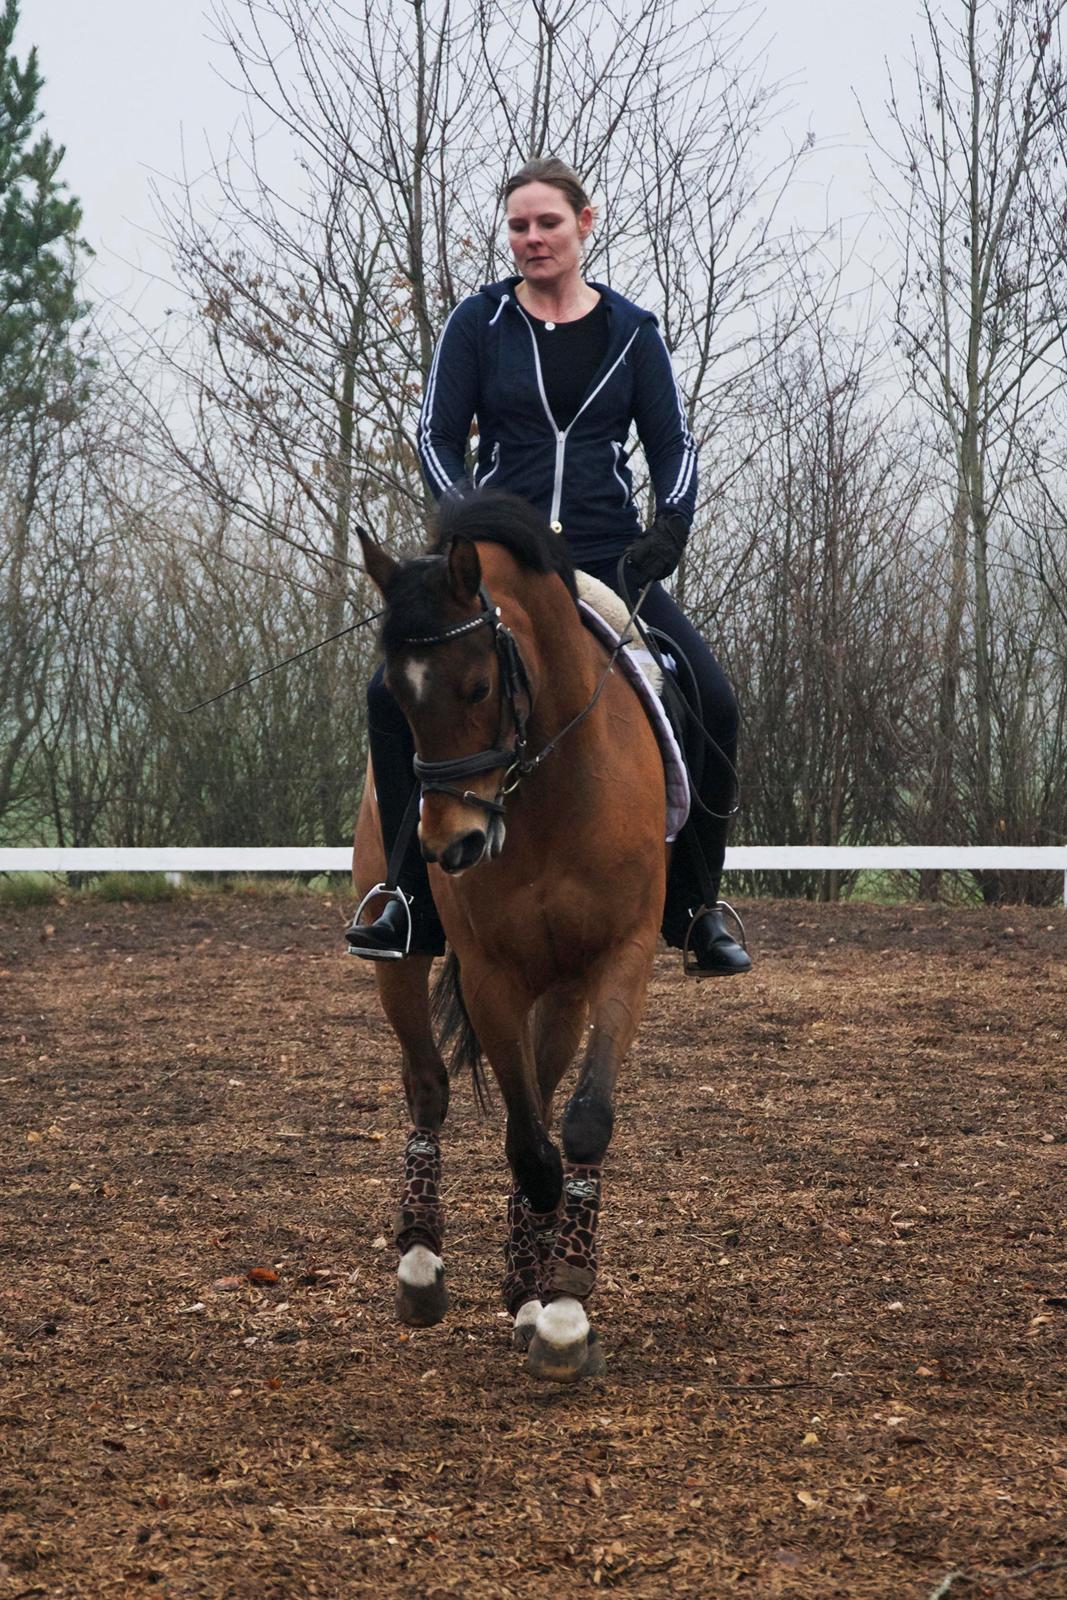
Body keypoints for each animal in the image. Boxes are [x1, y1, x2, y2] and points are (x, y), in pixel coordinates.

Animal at [352, 492, 667, 1381]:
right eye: (398, 700)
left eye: (480, 683)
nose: (450, 846)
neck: (550, 790)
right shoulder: (490, 975)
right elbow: (526, 1146)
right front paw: (546, 1302)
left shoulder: (620, 956)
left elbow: (578, 1123)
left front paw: (558, 1302)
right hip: (401, 958)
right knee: (428, 1085)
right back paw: (421, 1263)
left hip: (559, 985)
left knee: (543, 1096)